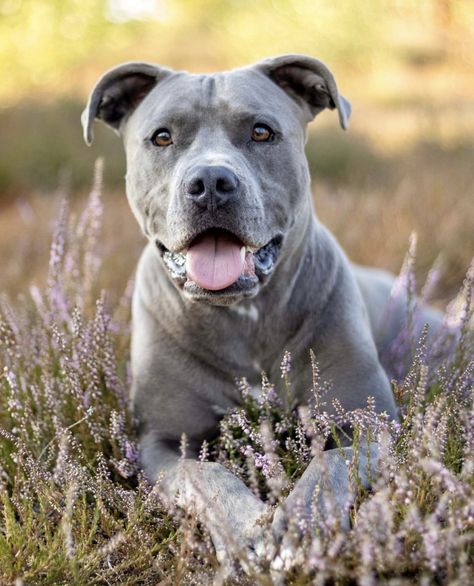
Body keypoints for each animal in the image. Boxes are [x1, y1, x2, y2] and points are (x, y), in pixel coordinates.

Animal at [83, 54, 442, 560]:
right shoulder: (163, 442)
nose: (211, 182)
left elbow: (331, 464)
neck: (242, 317)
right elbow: (206, 474)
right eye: (162, 137)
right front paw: (247, 528)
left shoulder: (369, 423)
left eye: (261, 131)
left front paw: (300, 524)